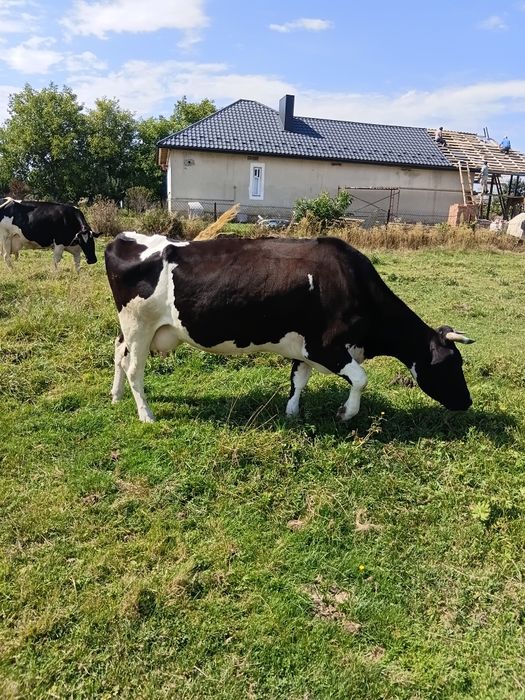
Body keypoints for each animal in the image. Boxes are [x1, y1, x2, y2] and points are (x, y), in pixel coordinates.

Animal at [105, 233, 474, 423]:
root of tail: (124, 237)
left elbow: (298, 380)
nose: (467, 402)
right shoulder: (326, 346)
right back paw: (146, 414)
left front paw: (292, 413)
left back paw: (116, 396)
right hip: (139, 326)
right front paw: (346, 413)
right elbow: (360, 379)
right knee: (134, 368)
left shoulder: (305, 346)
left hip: (130, 329)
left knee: (118, 353)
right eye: (452, 364)